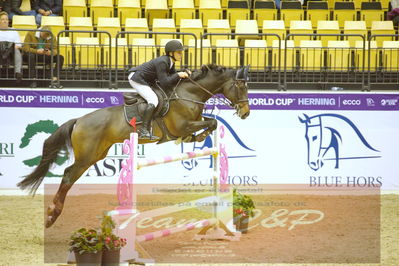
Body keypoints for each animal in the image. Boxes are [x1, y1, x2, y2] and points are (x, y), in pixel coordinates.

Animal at [18, 64, 252, 227]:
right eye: (241, 86)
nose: (245, 113)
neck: (189, 94)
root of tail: (79, 120)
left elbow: (212, 123)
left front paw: (194, 138)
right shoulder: (181, 126)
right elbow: (209, 123)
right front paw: (194, 137)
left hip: (96, 154)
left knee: (70, 175)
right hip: (86, 156)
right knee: (67, 175)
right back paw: (52, 214)